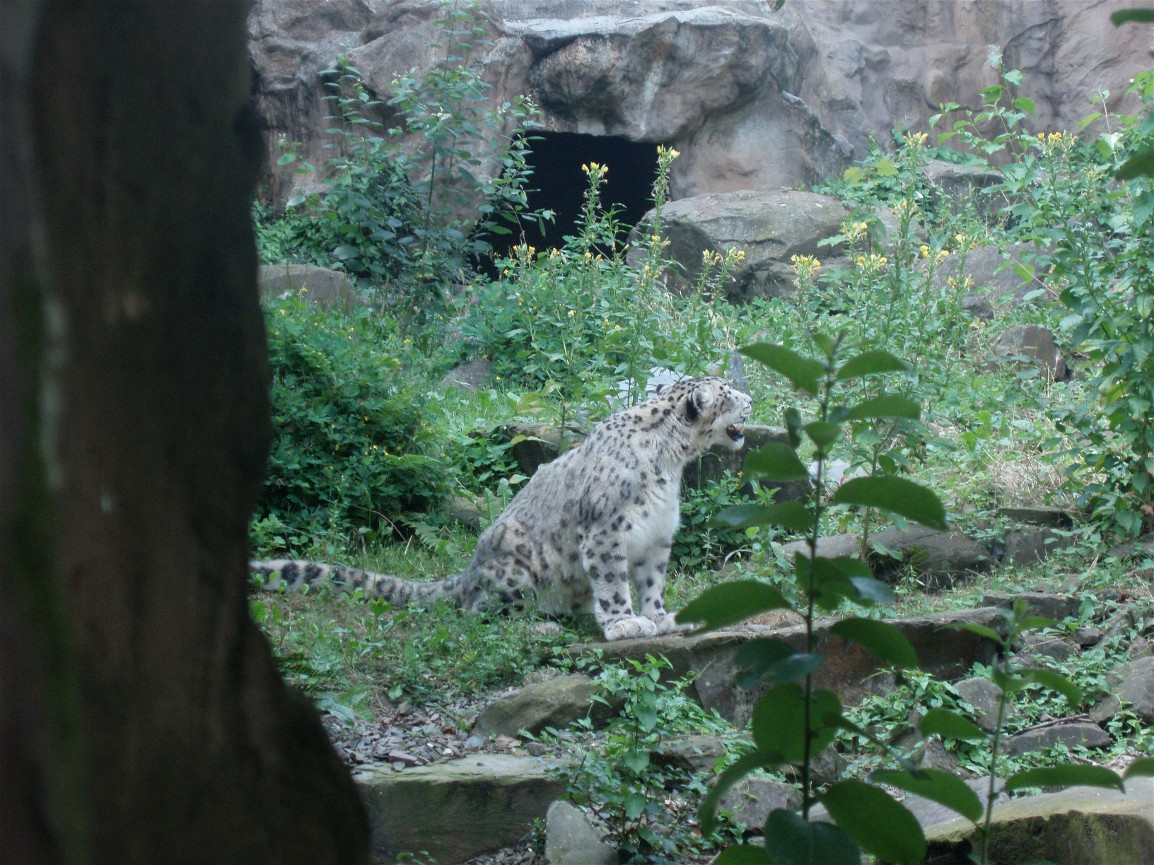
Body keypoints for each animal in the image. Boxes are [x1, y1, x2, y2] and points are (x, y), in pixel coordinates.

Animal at [251, 376, 752, 642]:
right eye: (726, 391)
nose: (750, 397)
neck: (673, 464)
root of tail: (469, 570)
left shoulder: (657, 536)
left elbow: (652, 583)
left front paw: (660, 616)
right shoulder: (606, 531)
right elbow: (612, 581)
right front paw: (624, 623)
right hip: (516, 560)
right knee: (481, 613)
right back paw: (540, 628)